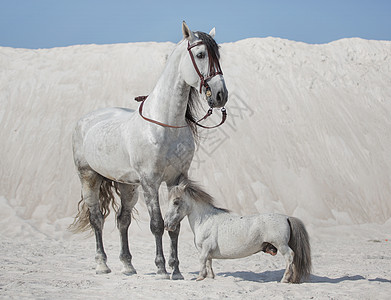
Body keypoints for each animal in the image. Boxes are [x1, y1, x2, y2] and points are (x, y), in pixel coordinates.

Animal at [69, 22, 228, 280]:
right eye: (201, 54)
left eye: (218, 56)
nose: (220, 95)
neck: (165, 124)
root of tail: (85, 120)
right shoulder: (150, 182)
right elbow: (157, 224)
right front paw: (162, 268)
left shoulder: (176, 180)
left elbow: (174, 225)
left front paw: (176, 270)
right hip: (89, 178)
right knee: (96, 219)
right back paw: (102, 264)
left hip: (128, 186)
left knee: (122, 220)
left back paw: (127, 266)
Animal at [165, 178, 312, 284]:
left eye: (176, 202)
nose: (167, 225)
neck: (205, 220)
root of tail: (286, 217)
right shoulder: (207, 252)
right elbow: (209, 262)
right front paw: (211, 277)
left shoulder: (205, 248)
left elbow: (202, 261)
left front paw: (200, 277)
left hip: (281, 245)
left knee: (290, 256)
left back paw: (284, 279)